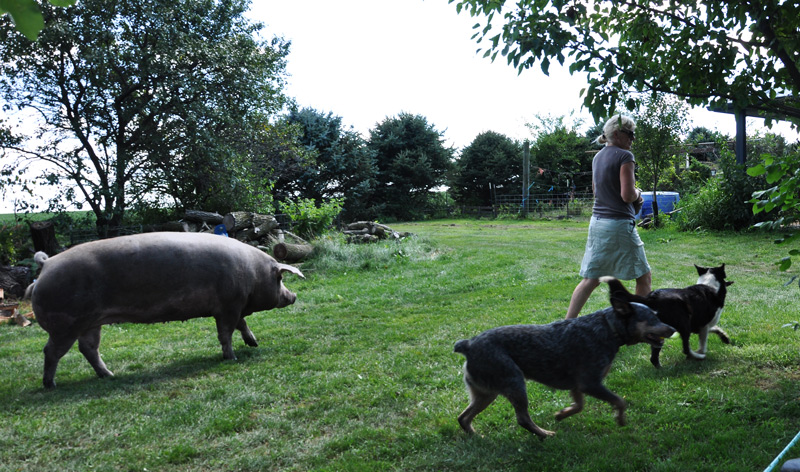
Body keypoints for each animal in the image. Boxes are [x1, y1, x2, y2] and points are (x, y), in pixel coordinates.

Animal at [27, 232, 304, 388]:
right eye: (280, 278)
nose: (293, 296)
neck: (254, 273)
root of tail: (46, 264)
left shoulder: (229, 307)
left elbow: (241, 325)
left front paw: (254, 344)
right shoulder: (228, 305)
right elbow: (226, 333)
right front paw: (231, 358)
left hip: (91, 322)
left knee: (88, 348)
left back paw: (109, 375)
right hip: (65, 325)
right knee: (51, 351)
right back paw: (50, 385)